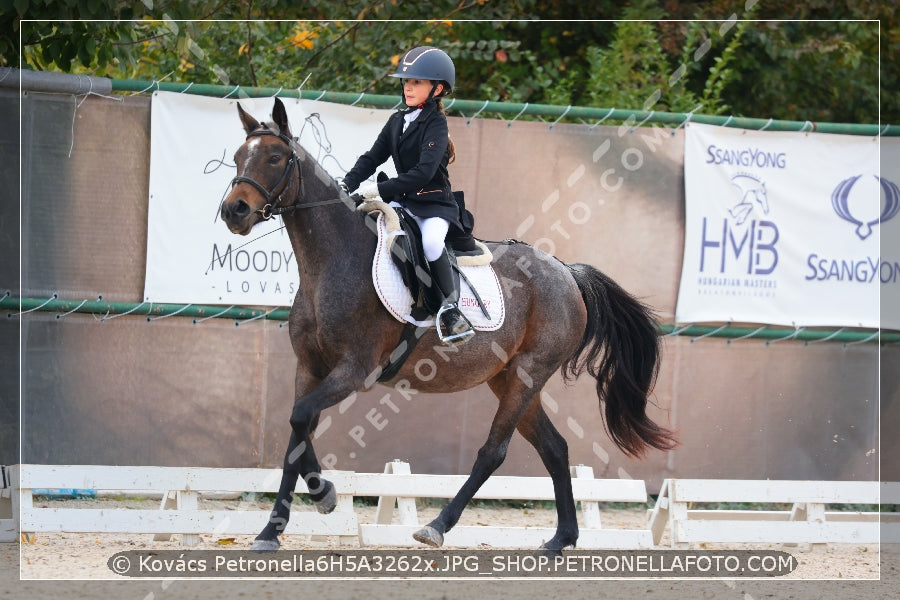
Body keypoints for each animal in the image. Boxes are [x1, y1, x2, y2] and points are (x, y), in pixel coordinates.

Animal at [220, 97, 676, 552]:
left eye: (275, 157)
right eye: (239, 156)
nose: (233, 211)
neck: (332, 261)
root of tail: (566, 272)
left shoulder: (355, 370)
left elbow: (299, 420)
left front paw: (325, 497)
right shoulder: (310, 368)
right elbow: (296, 437)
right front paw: (272, 531)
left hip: (528, 374)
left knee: (494, 451)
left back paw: (438, 526)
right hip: (510, 378)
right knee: (555, 448)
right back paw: (559, 540)